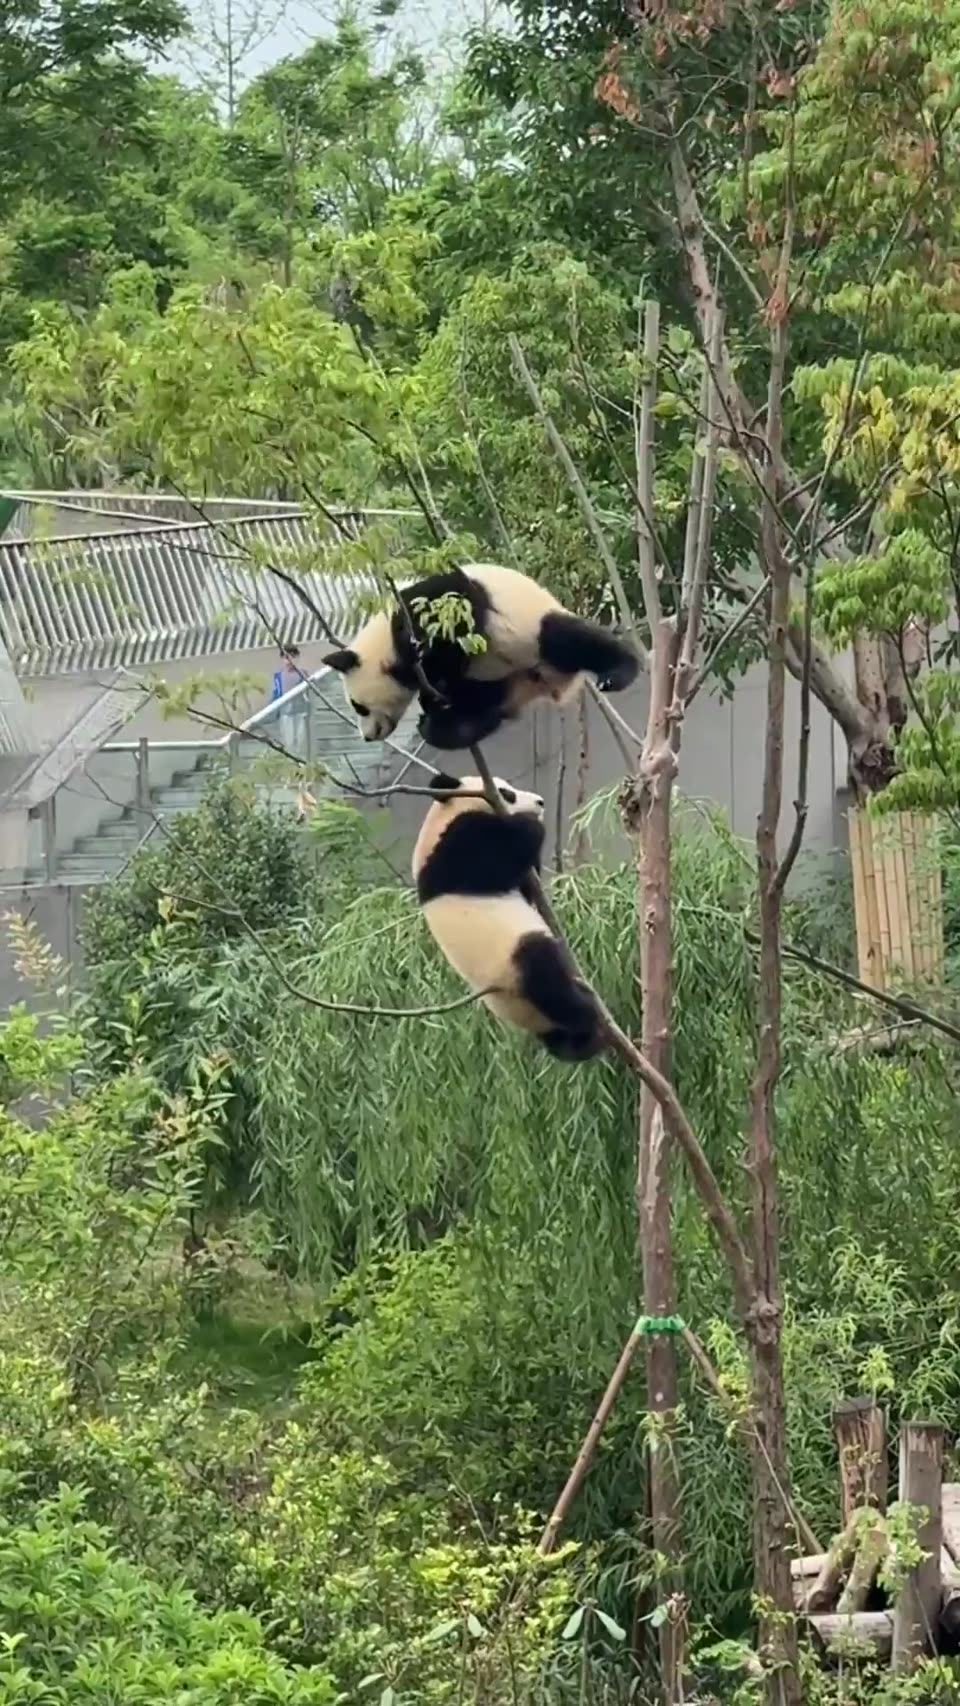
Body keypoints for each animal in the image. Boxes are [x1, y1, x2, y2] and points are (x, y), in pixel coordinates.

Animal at [323, 563, 639, 751]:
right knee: (484, 705)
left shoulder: (430, 604)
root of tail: (554, 683)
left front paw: (435, 674)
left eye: (359, 706)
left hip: (535, 629)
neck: (384, 639)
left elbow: (461, 610)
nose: (367, 736)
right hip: (509, 681)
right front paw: (433, 697)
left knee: (568, 638)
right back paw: (447, 726)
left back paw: (618, 673)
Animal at [411, 771, 607, 1061]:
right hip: (511, 966)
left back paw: (582, 1041)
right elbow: (495, 853)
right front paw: (530, 825)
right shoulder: (453, 849)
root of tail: (538, 1022)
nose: (540, 802)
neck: (438, 821)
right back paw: (586, 1010)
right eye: (507, 793)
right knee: (543, 973)